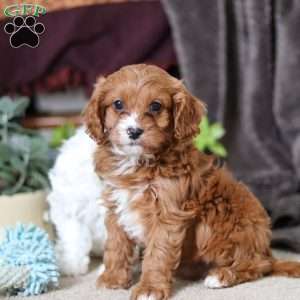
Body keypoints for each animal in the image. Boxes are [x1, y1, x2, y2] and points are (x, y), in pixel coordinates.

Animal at [84, 65, 300, 300]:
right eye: (118, 104)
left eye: (155, 106)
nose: (134, 131)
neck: (138, 162)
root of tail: (266, 249)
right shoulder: (116, 204)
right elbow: (116, 245)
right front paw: (113, 278)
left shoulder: (168, 213)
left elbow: (157, 254)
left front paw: (149, 288)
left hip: (231, 222)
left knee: (258, 266)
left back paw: (222, 276)